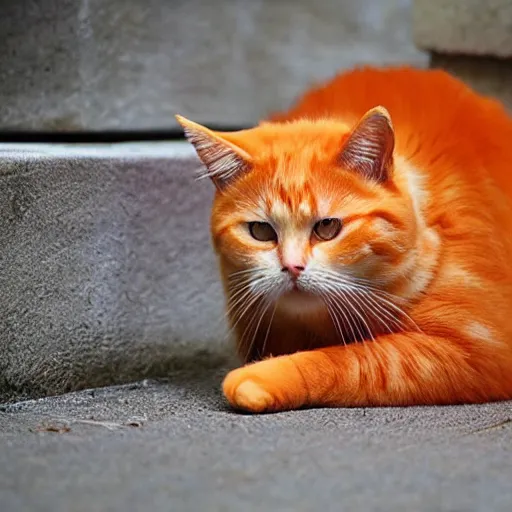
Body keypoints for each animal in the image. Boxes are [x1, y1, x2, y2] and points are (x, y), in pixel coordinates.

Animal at [178, 67, 512, 412]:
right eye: (261, 232)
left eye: (327, 227)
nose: (292, 267)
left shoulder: (476, 348)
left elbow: (356, 361)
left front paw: (262, 377)